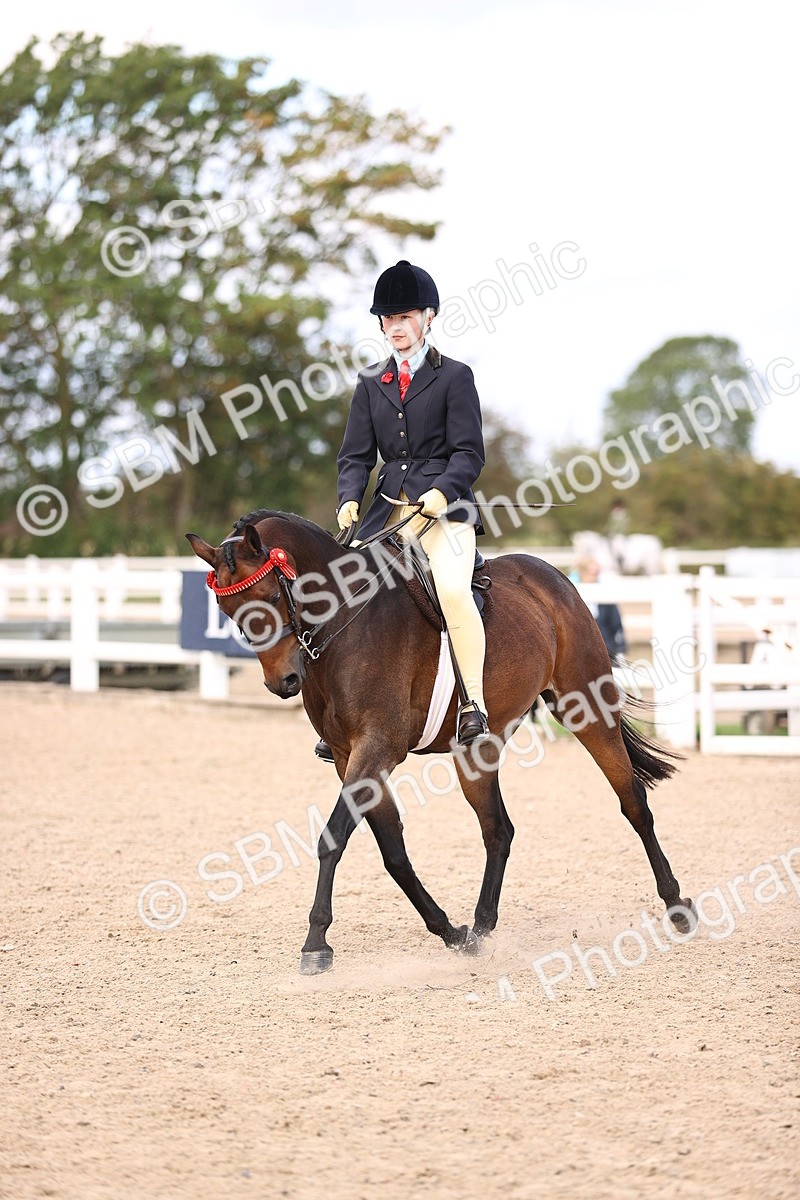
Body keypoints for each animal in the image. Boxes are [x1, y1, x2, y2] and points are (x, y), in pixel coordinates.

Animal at [187, 508, 695, 975]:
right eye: (229, 612)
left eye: (273, 595)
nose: (284, 681)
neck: (347, 622)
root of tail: (551, 575)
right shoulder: (350, 757)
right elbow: (392, 851)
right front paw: (451, 933)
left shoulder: (377, 748)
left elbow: (334, 837)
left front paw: (316, 943)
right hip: (476, 748)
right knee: (498, 829)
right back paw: (482, 927)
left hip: (586, 708)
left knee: (633, 803)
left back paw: (677, 906)